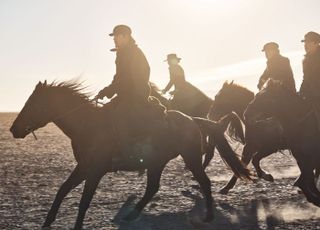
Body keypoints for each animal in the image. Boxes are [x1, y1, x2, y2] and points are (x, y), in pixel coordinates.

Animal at [10, 80, 251, 229]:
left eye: (33, 103)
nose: (13, 129)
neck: (88, 125)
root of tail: (192, 119)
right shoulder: (83, 167)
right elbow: (62, 191)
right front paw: (47, 221)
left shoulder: (95, 171)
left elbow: (84, 201)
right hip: (157, 163)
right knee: (153, 187)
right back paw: (132, 214)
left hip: (190, 158)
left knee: (204, 181)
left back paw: (209, 215)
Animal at [242, 79, 320, 207]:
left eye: (265, 98)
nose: (246, 114)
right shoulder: (303, 159)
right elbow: (304, 181)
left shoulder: (310, 158)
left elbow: (304, 181)